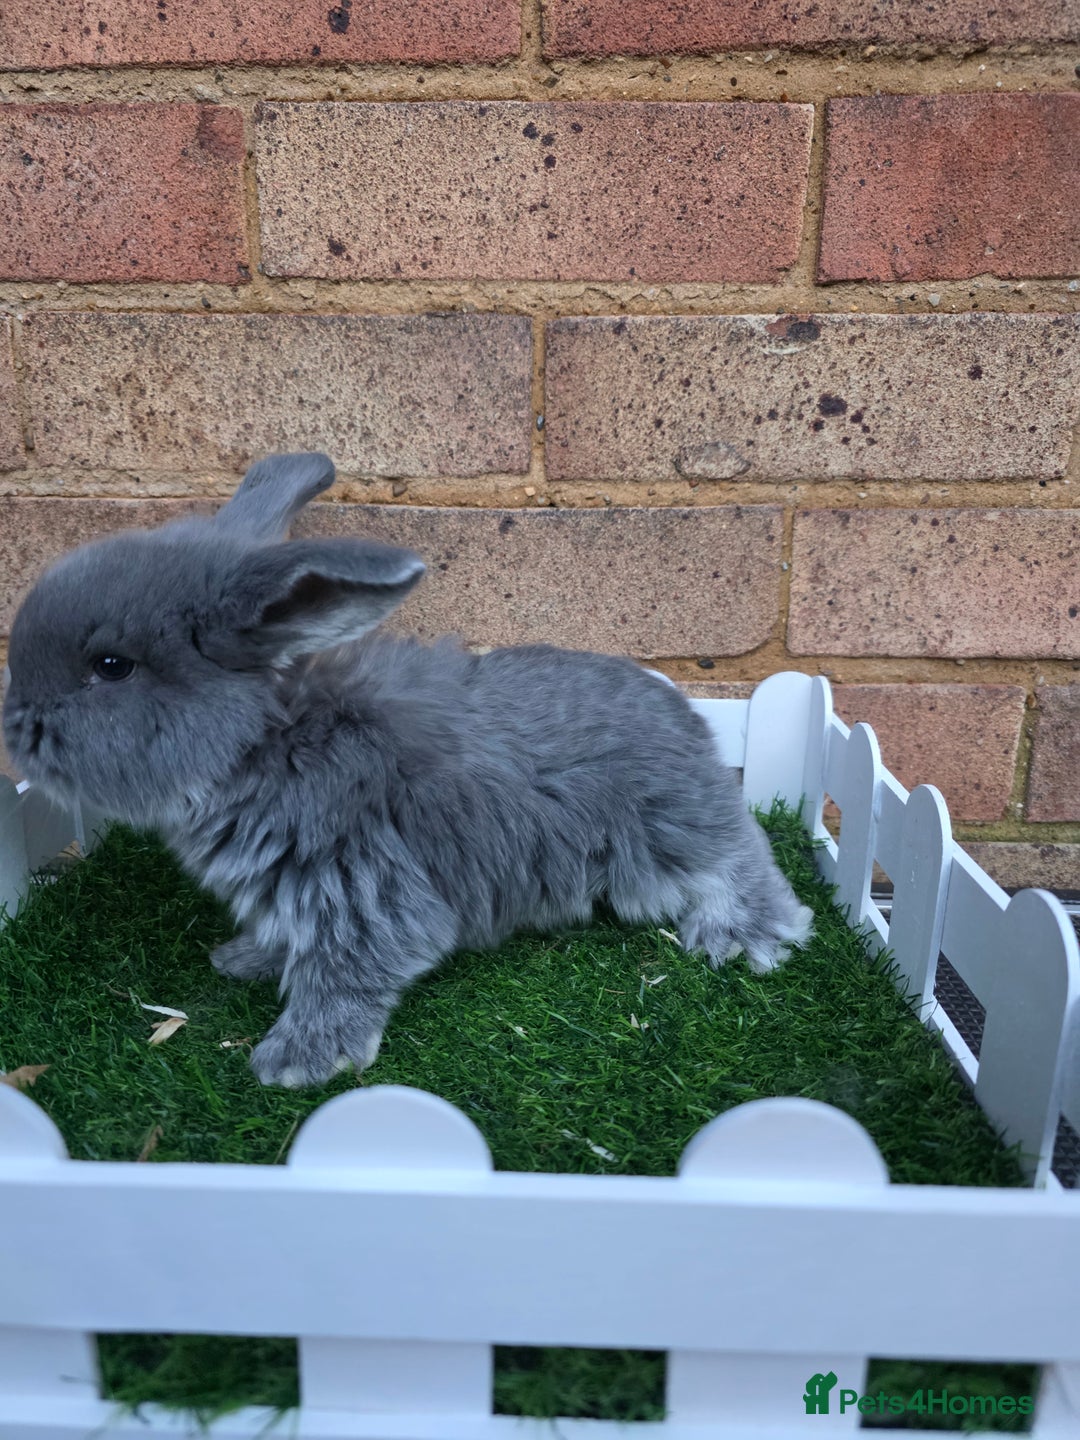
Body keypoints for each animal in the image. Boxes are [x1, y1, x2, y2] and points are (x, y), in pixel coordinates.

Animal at [2, 452, 813, 1087]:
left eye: (112, 666)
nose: (14, 726)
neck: (269, 743)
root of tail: (687, 715)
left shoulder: (363, 891)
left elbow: (341, 979)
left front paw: (294, 1062)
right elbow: (284, 942)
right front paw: (241, 959)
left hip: (674, 833)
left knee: (743, 861)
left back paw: (747, 937)